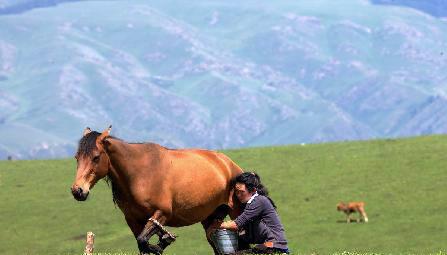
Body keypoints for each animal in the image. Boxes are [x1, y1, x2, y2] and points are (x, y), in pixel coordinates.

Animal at [71, 126, 245, 254]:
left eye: (96, 157)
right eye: (77, 157)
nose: (77, 190)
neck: (139, 174)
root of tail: (229, 164)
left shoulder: (161, 214)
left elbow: (144, 241)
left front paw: (163, 242)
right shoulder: (133, 220)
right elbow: (141, 244)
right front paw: (162, 241)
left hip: (237, 211)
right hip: (210, 218)